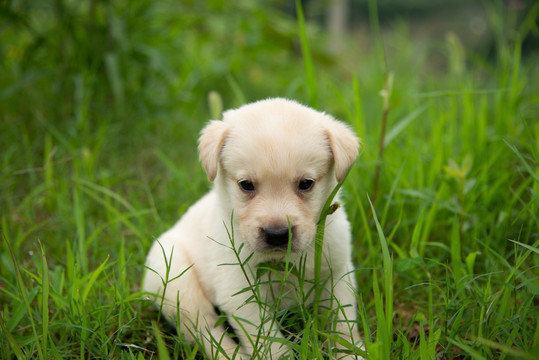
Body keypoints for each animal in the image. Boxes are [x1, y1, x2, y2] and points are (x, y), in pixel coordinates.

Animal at [142, 97, 362, 358]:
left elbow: (343, 322)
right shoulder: (239, 291)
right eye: (246, 185)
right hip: (176, 283)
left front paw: (352, 353)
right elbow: (268, 340)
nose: (277, 234)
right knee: (205, 329)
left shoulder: (338, 272)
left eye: (306, 184)